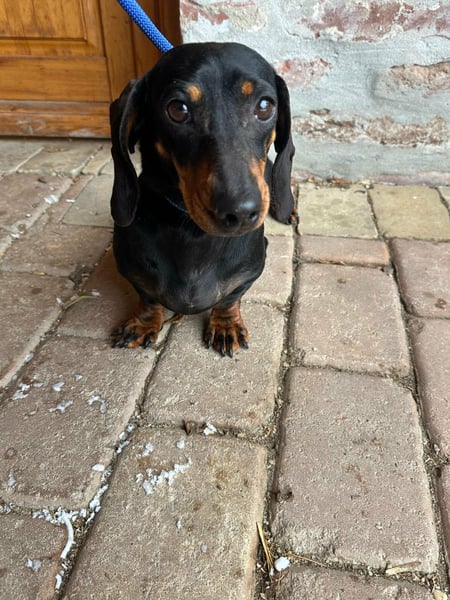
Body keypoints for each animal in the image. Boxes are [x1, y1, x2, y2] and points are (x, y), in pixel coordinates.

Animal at [109, 42, 296, 357]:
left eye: (265, 106)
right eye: (178, 109)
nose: (240, 212)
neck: (192, 231)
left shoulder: (251, 271)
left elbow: (229, 298)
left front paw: (225, 324)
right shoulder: (129, 268)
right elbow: (148, 297)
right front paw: (143, 323)